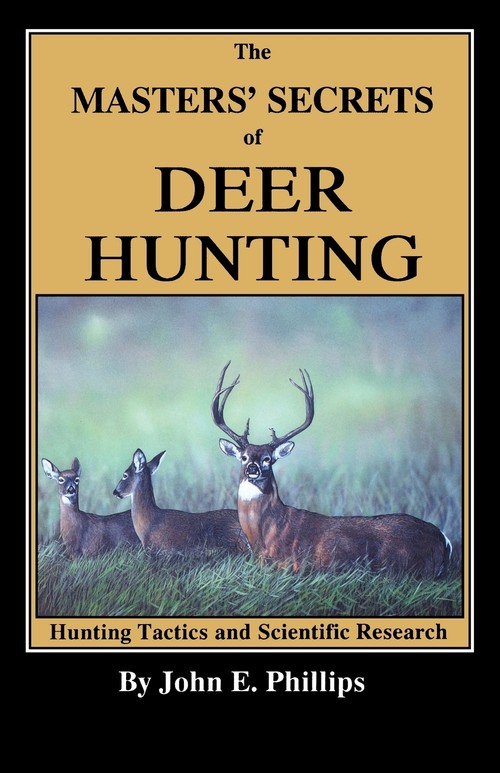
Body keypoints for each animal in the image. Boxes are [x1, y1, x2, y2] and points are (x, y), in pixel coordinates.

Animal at [212, 362, 452, 579]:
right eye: (244, 457)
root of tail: (442, 538)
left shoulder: (291, 564)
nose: (252, 468)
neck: (265, 534)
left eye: (268, 459)